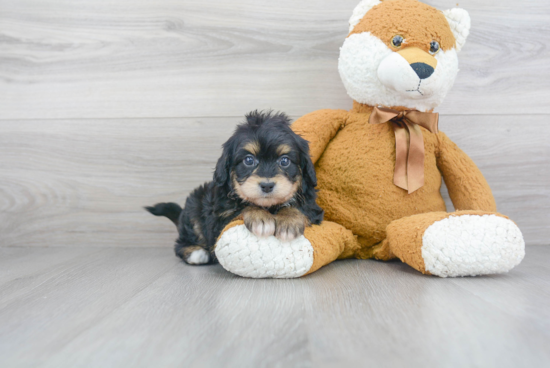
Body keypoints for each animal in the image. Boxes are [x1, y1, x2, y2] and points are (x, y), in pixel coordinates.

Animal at [149, 110, 326, 266]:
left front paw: (289, 221)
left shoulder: (313, 208)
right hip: (194, 207)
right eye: (249, 160)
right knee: (182, 241)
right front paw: (259, 217)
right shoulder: (219, 218)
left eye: (284, 161)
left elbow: (299, 207)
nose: (267, 185)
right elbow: (243, 207)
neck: (269, 206)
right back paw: (196, 253)